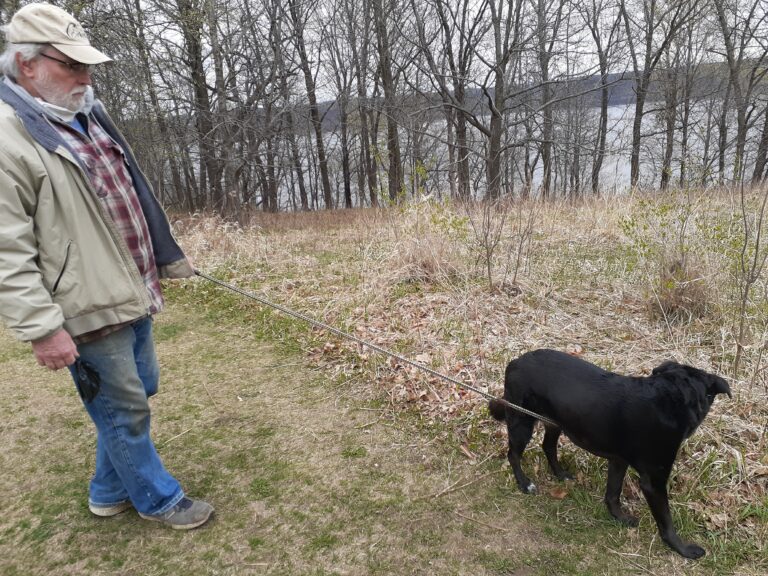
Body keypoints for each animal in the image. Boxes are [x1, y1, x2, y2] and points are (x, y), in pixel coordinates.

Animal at [488, 349, 731, 559]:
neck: (671, 397)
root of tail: (515, 361)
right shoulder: (654, 481)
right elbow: (666, 522)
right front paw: (682, 549)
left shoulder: (618, 460)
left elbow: (612, 493)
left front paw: (619, 518)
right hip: (521, 420)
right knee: (513, 455)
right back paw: (524, 483)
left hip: (554, 421)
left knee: (548, 446)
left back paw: (560, 474)